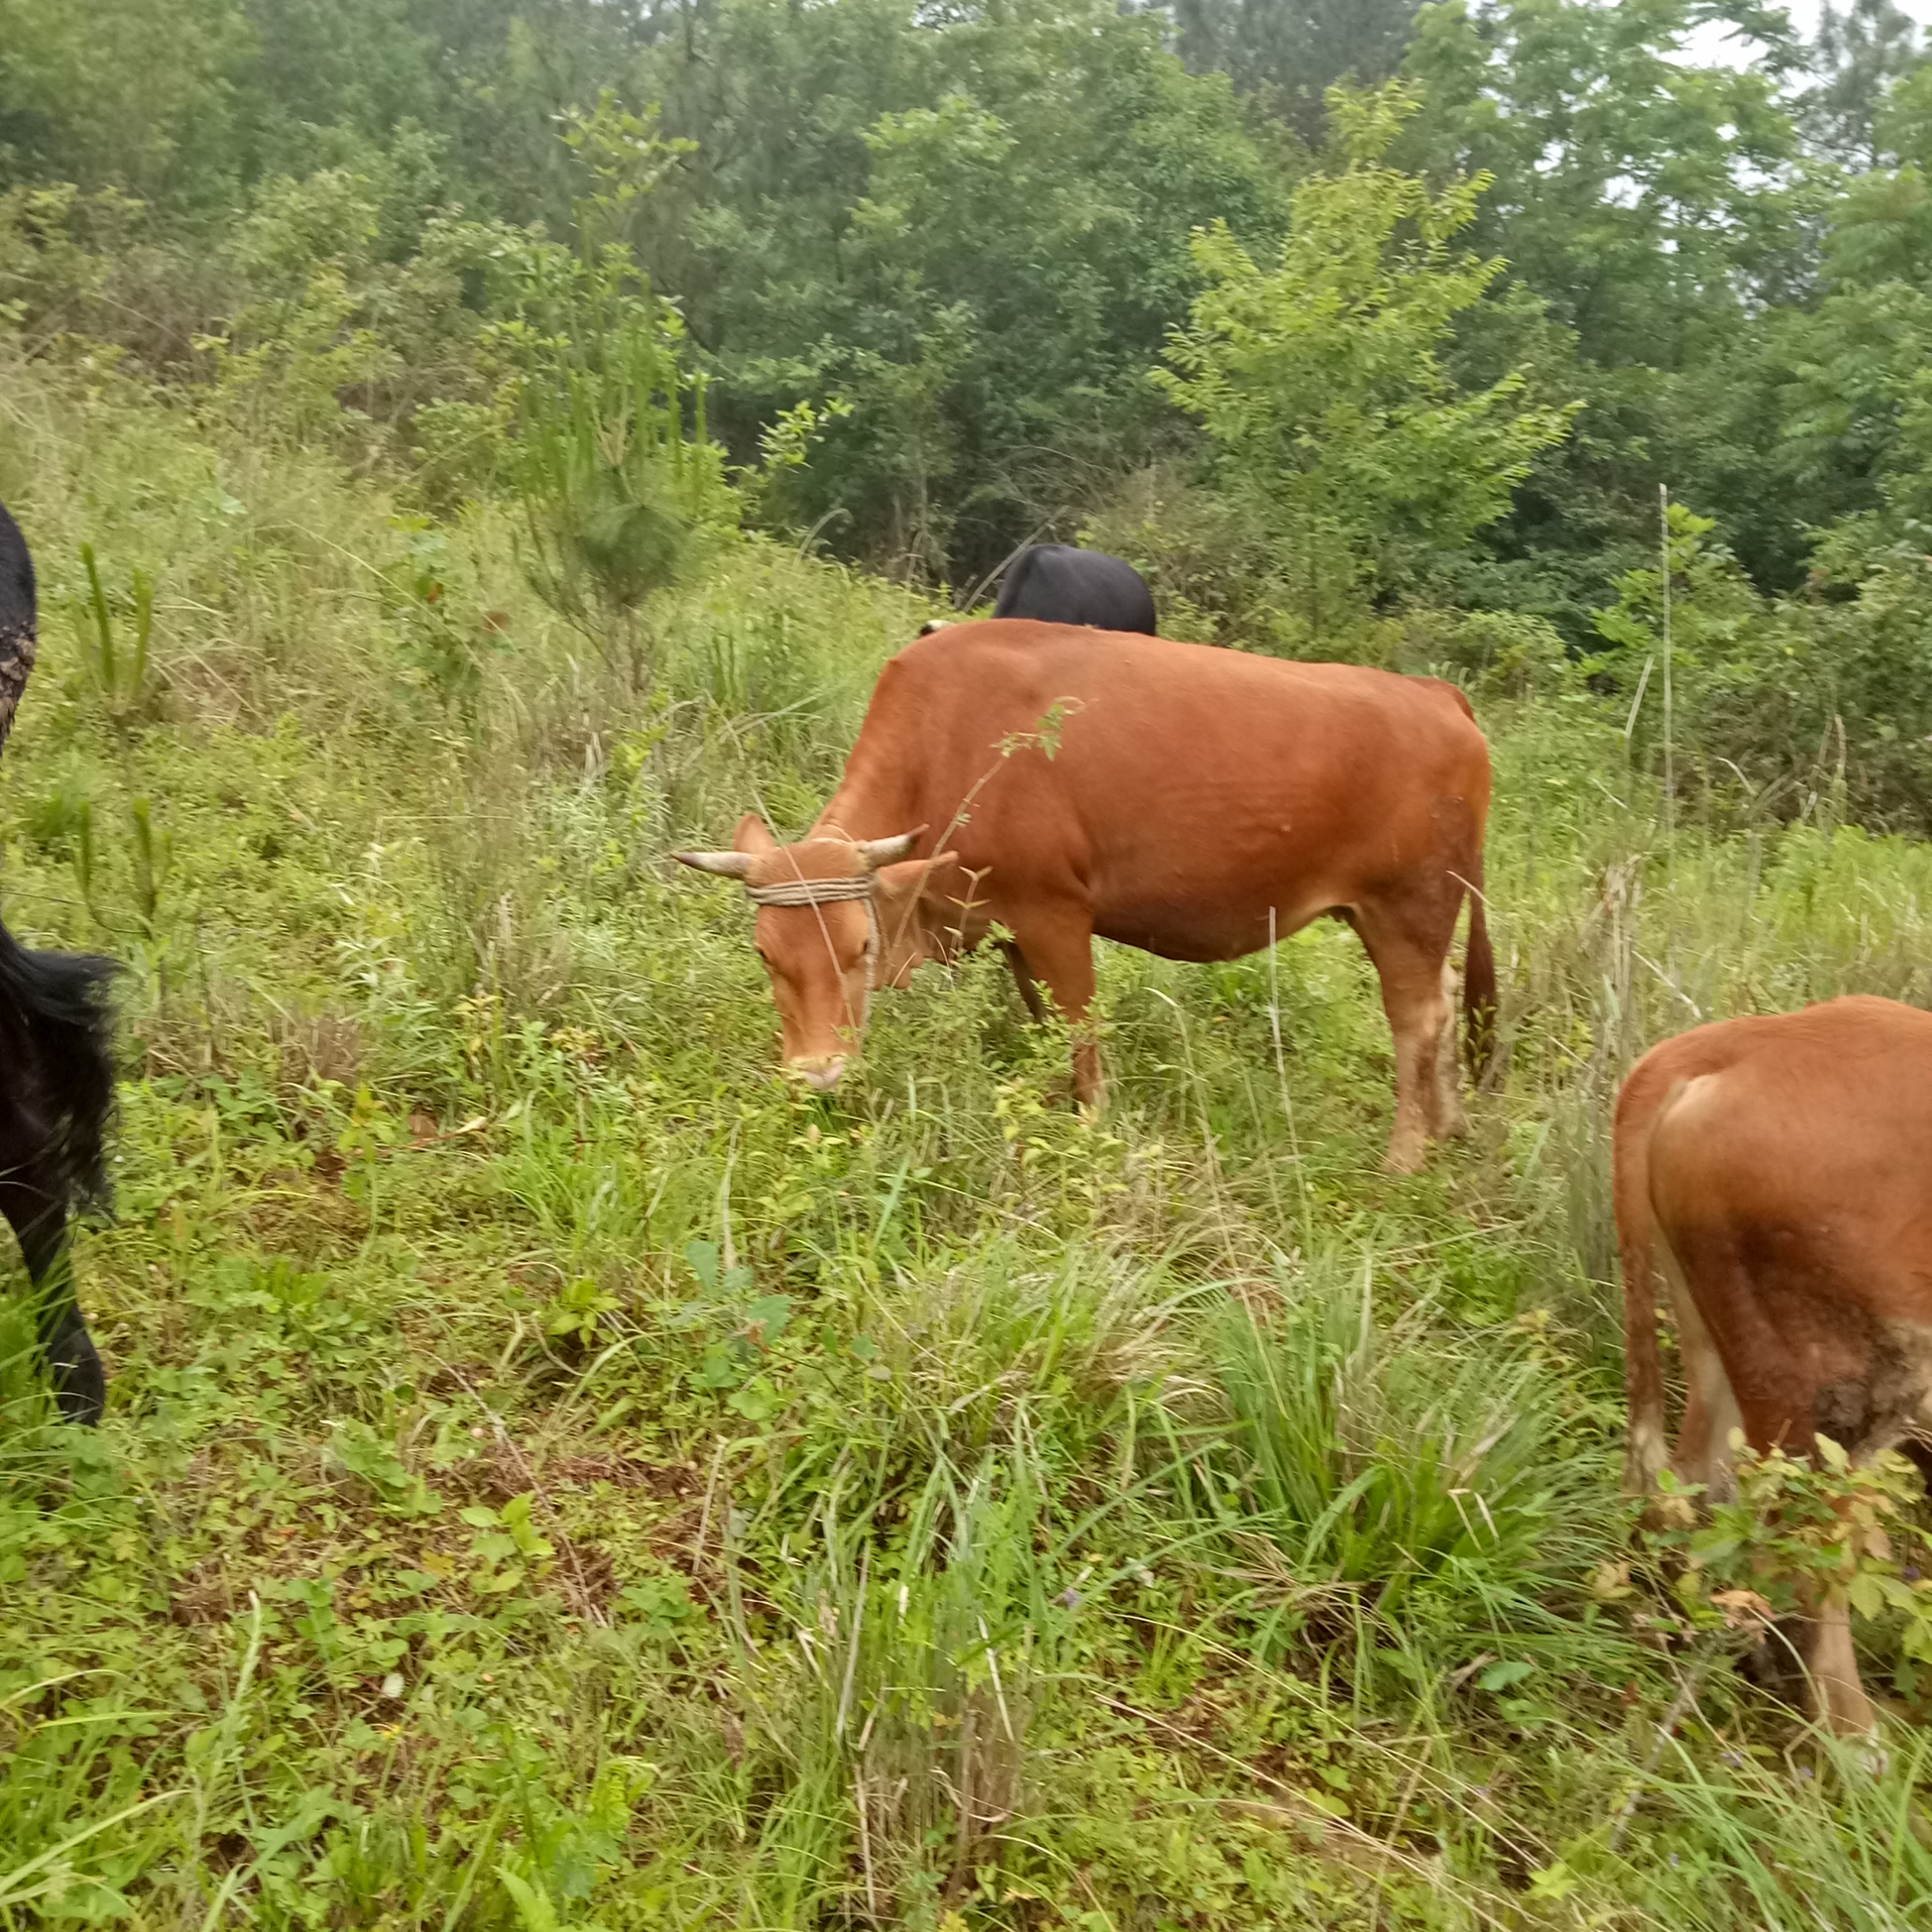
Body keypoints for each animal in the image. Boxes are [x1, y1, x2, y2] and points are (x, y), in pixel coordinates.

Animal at [1623, 997, 1932, 1739]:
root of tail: (1738, 1041)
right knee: (1805, 1555)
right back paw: (1857, 1745)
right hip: (1835, 1389)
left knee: (1689, 1493)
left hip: (1720, 1343)